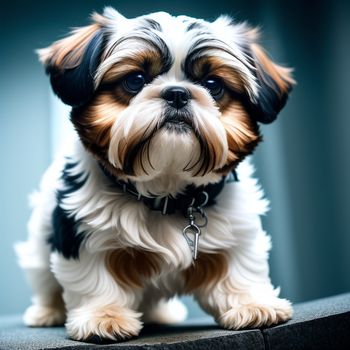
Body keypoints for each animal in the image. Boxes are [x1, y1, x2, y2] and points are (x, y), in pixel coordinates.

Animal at [16, 6, 296, 344]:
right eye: (135, 80)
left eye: (213, 84)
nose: (177, 93)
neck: (166, 191)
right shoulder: (80, 232)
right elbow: (95, 277)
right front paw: (103, 317)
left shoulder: (238, 227)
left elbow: (241, 266)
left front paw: (252, 303)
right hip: (38, 247)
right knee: (45, 281)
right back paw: (46, 313)